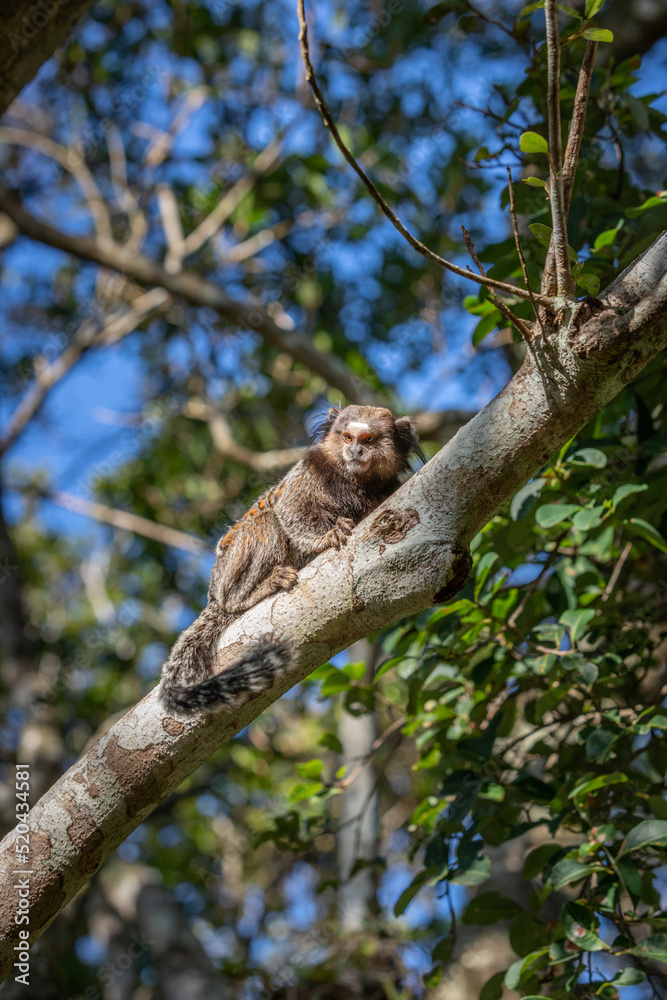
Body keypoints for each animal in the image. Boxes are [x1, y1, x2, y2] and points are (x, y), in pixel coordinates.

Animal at [160, 402, 422, 716]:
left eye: (368, 440)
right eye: (347, 437)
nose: (355, 451)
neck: (355, 482)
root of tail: (213, 595)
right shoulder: (308, 474)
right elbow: (290, 510)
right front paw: (326, 537)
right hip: (228, 570)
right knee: (266, 523)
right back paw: (249, 594)